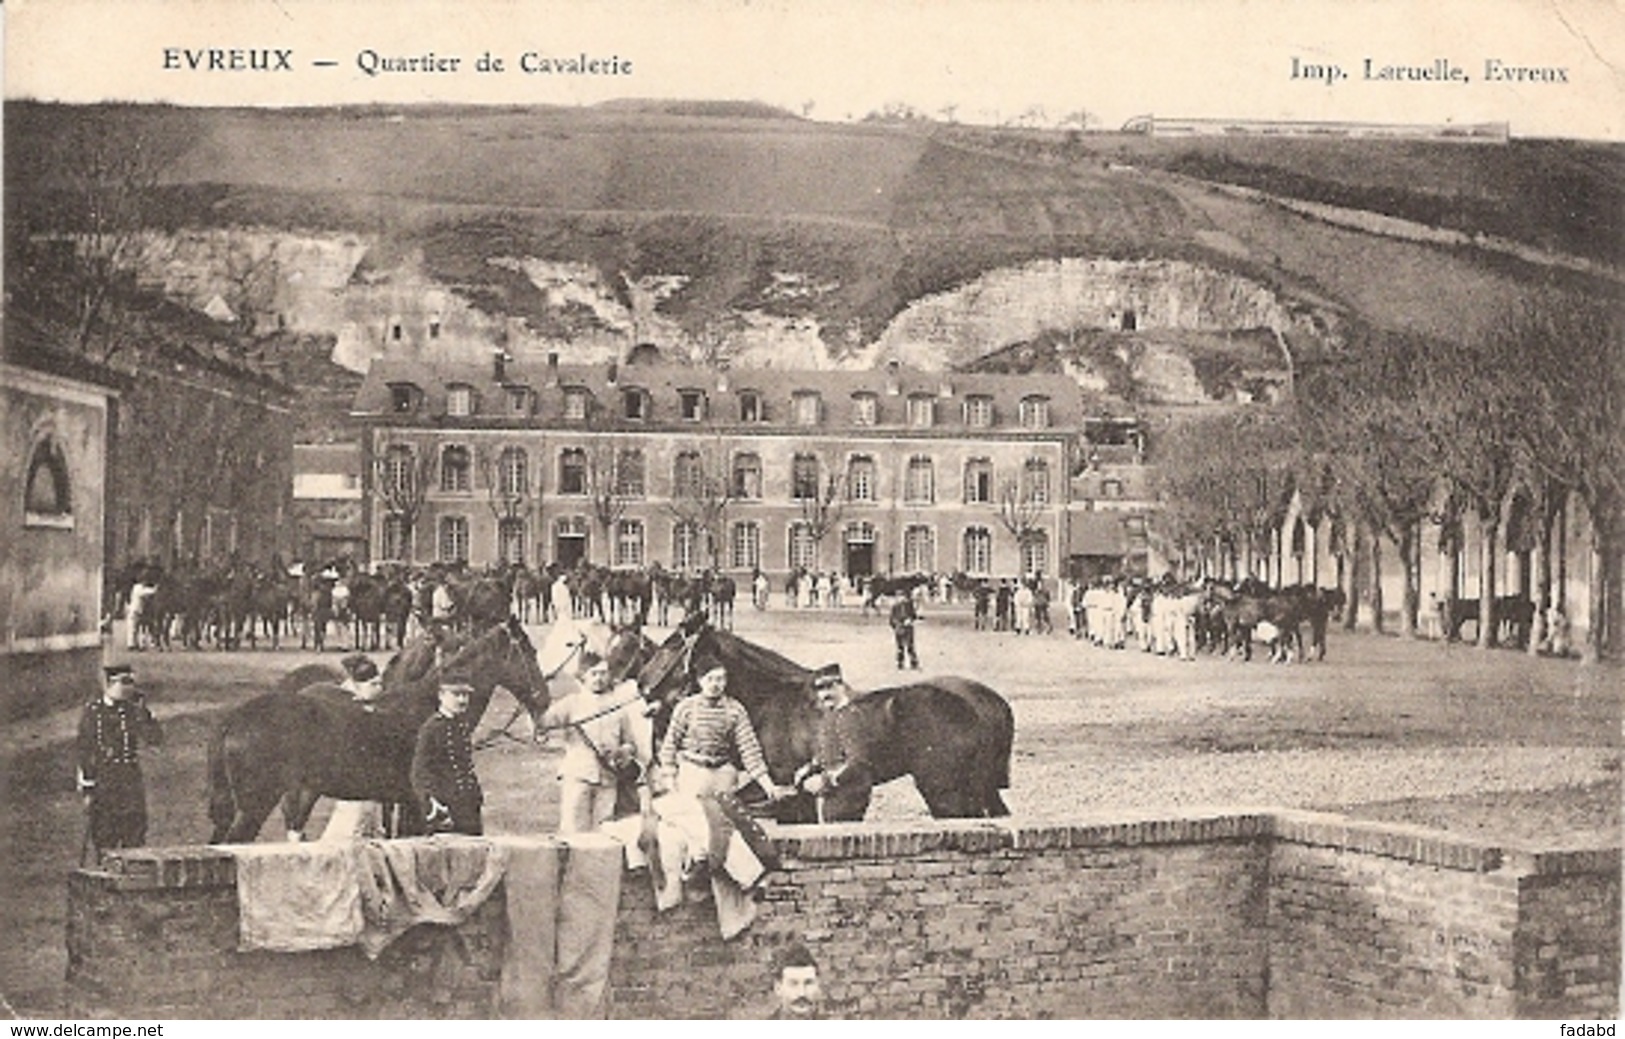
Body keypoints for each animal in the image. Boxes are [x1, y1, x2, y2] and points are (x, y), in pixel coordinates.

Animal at [206, 617, 549, 845]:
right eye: (529, 652)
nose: (544, 699)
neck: (429, 707)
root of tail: (233, 719)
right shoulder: (418, 803)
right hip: (255, 805)